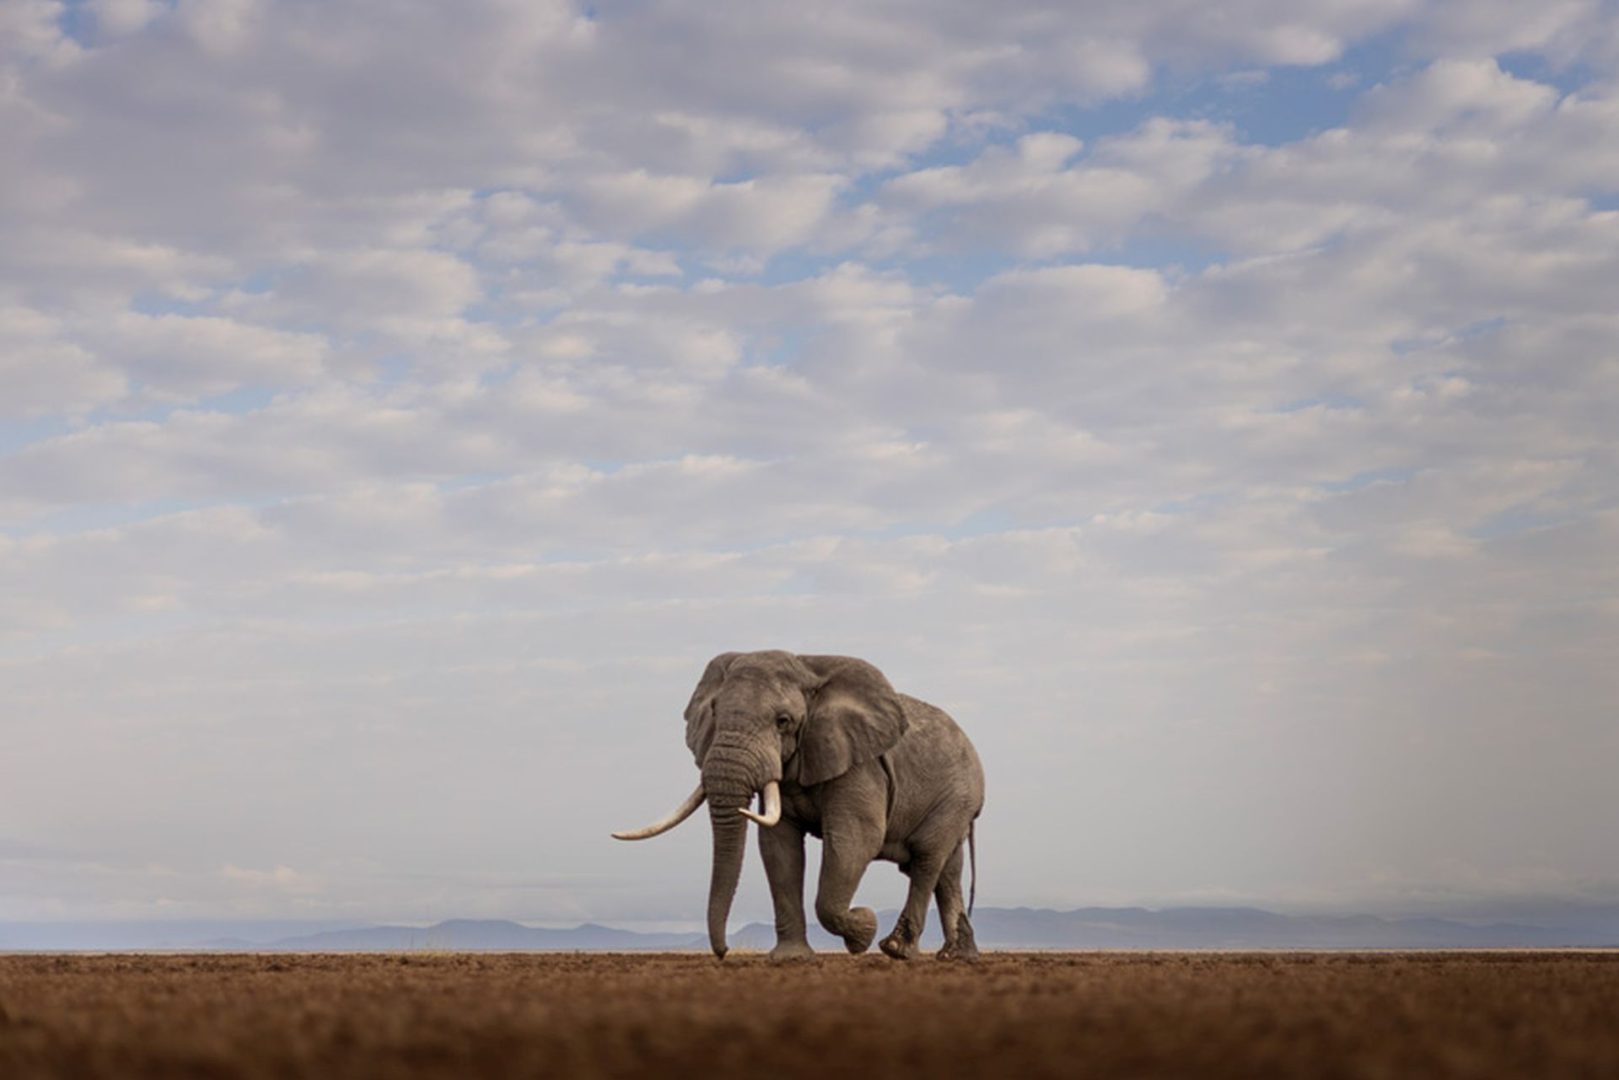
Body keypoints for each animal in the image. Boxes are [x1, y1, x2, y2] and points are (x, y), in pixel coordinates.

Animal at [614, 650, 984, 961]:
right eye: (714, 714)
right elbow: (779, 847)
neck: (809, 669)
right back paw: (957, 958)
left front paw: (862, 931)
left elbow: (855, 838)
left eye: (783, 721)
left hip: (956, 797)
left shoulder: (858, 764)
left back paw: (897, 950)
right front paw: (790, 959)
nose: (724, 952)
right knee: (948, 872)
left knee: (926, 859)